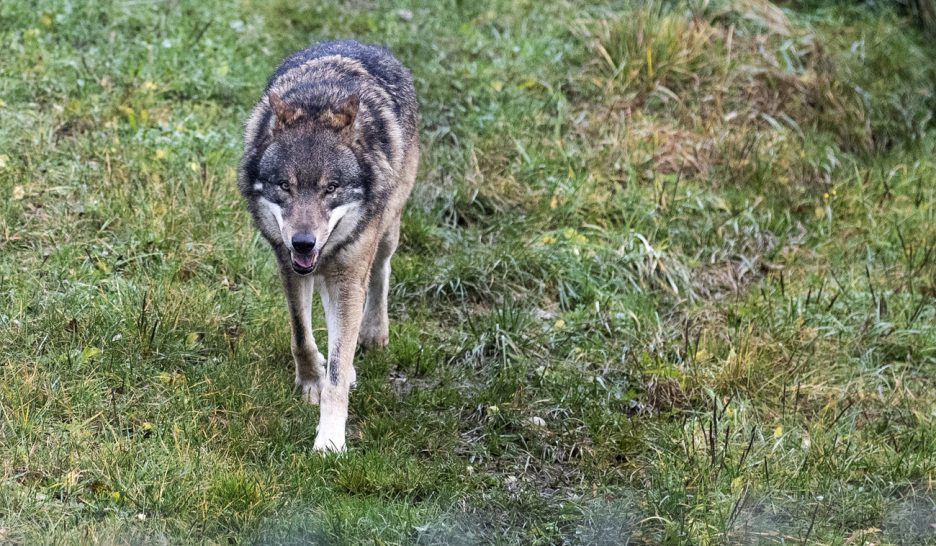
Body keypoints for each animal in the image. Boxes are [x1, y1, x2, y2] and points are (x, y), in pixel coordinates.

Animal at [237, 40, 419, 452]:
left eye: (331, 188)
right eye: (285, 186)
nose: (303, 242)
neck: (318, 101)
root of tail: (360, 42)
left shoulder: (349, 276)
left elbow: (337, 371)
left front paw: (331, 442)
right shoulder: (288, 265)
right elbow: (302, 336)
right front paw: (310, 382)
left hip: (385, 232)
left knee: (380, 272)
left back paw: (373, 333)